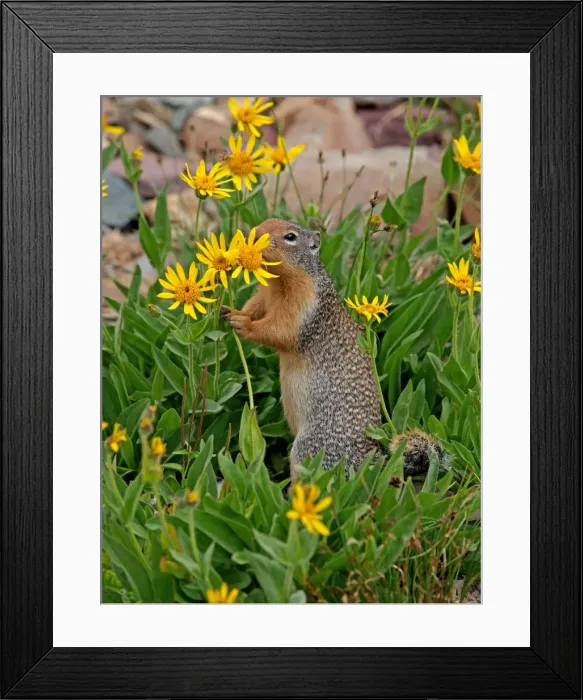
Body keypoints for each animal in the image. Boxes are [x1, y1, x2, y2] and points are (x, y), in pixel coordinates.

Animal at [221, 218, 445, 480]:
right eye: (265, 222)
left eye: (290, 237)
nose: (254, 234)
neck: (278, 282)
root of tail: (370, 462)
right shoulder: (264, 296)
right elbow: (254, 307)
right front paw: (230, 312)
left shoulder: (304, 309)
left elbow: (281, 332)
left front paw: (244, 324)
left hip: (311, 446)